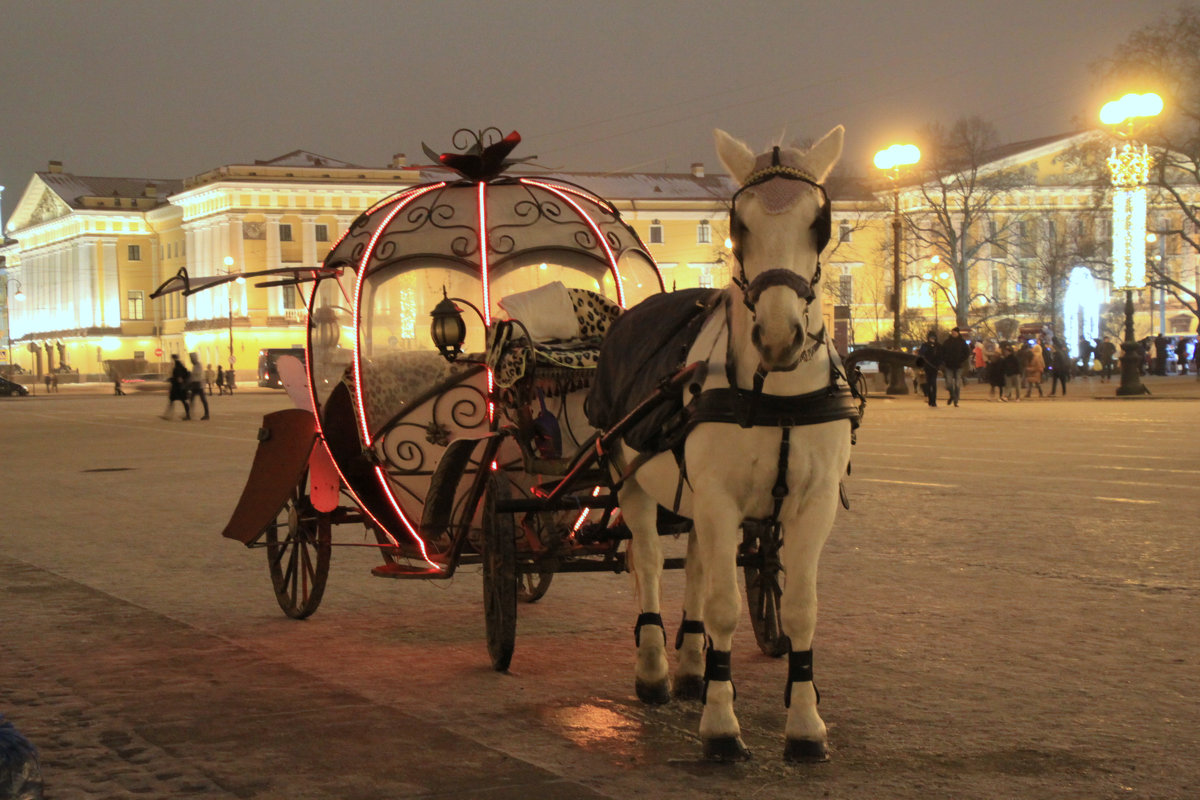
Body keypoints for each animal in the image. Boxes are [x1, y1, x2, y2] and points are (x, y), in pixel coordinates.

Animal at [619, 126, 854, 762]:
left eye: (821, 223)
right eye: (737, 223)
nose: (777, 336)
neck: (777, 394)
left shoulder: (811, 505)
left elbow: (800, 610)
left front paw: (806, 725)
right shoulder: (720, 499)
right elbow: (724, 608)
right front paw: (722, 725)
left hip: (696, 500)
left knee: (699, 568)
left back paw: (691, 667)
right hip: (632, 484)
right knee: (649, 564)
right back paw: (655, 670)